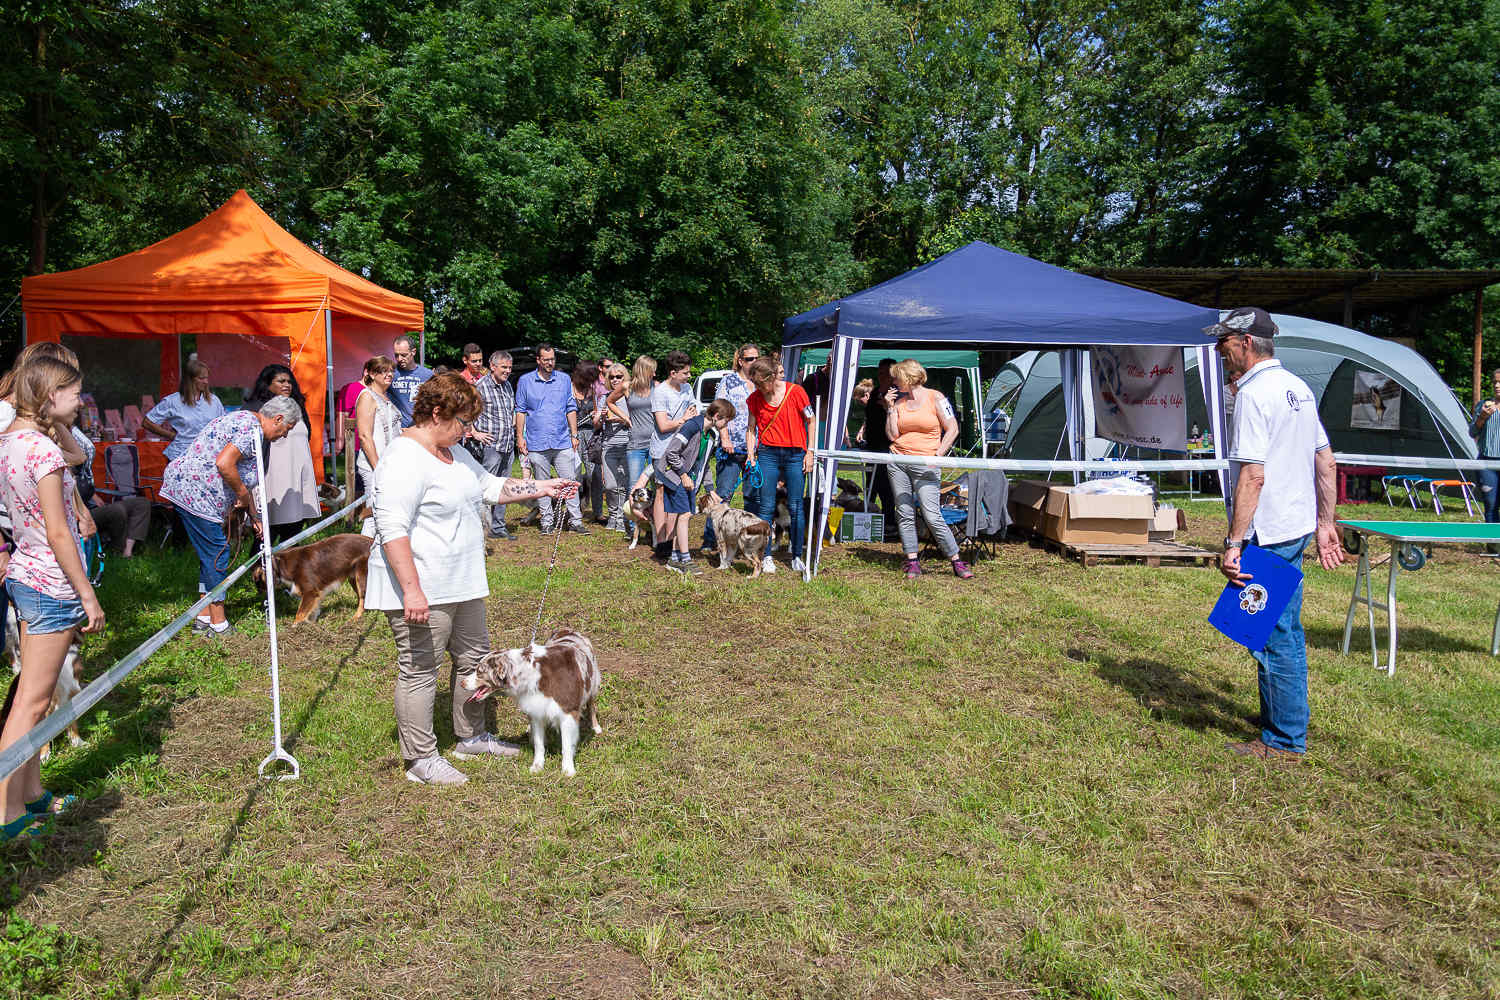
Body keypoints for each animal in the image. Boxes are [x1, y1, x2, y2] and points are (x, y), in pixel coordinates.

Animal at [459, 629, 600, 779]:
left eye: (480, 671)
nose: (462, 683)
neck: (532, 674)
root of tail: (567, 630)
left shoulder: (568, 712)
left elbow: (566, 746)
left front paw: (568, 770)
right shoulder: (536, 710)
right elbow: (539, 744)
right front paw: (537, 766)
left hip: (592, 683)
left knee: (591, 705)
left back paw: (596, 727)